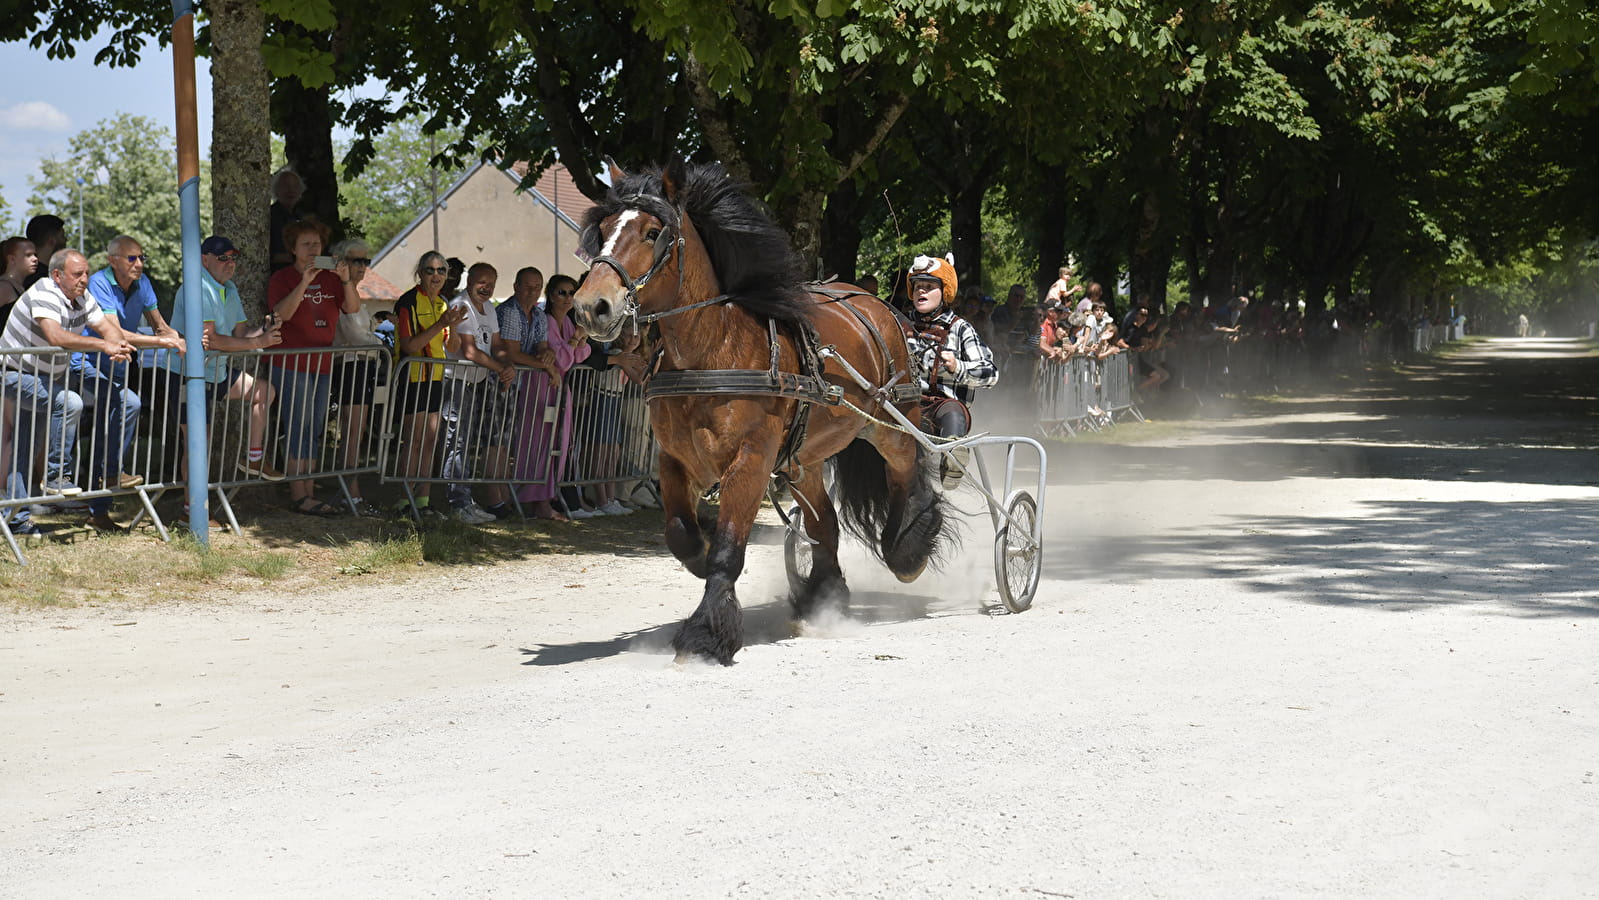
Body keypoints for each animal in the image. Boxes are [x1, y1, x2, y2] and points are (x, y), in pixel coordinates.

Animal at [572, 159, 946, 668]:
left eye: (652, 232)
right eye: (605, 229)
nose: (590, 307)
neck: (712, 352)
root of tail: (875, 302)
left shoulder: (750, 459)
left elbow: (728, 550)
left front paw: (705, 635)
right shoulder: (672, 458)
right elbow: (681, 535)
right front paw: (701, 550)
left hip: (888, 423)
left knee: (906, 470)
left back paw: (907, 547)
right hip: (804, 459)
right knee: (824, 523)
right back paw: (823, 596)